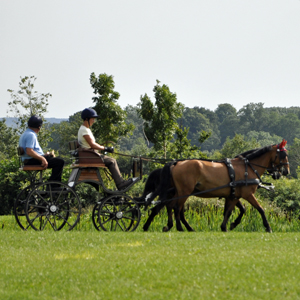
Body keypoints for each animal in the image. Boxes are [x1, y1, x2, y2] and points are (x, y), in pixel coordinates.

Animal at [142, 139, 290, 233]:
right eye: (283, 154)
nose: (286, 171)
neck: (247, 167)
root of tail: (176, 163)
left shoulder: (233, 196)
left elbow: (232, 211)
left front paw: (227, 226)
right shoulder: (248, 194)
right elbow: (260, 209)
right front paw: (268, 227)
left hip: (178, 192)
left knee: (169, 206)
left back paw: (170, 226)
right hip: (185, 191)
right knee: (176, 208)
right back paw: (178, 227)